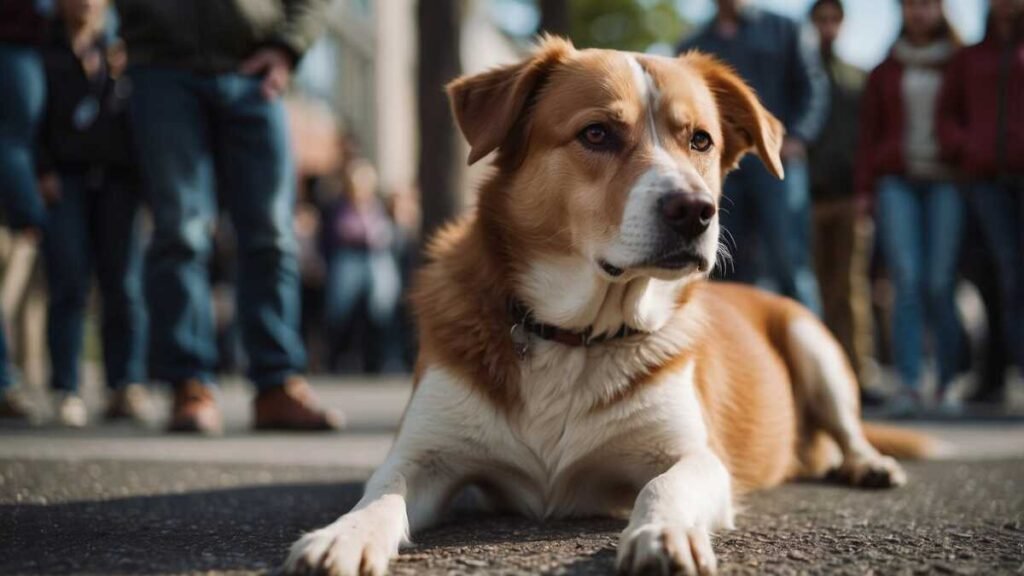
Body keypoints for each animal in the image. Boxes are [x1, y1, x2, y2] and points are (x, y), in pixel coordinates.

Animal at [280, 36, 929, 573]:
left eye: (700, 140)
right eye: (596, 134)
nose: (697, 211)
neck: (576, 334)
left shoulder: (697, 458)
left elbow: (664, 485)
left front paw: (664, 534)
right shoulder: (425, 456)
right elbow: (382, 494)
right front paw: (343, 536)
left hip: (811, 340)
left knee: (849, 428)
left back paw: (867, 463)